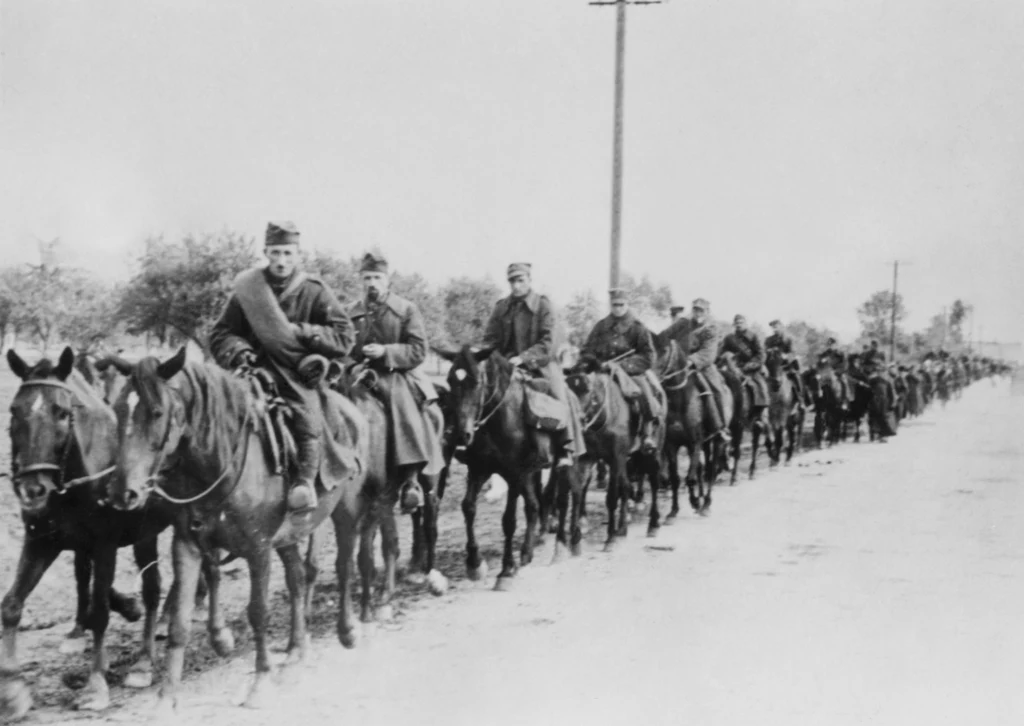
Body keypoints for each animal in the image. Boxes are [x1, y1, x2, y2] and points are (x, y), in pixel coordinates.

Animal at [108, 348, 370, 712]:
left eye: (157, 412)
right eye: (119, 410)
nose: (123, 493)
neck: (219, 461)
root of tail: (351, 410)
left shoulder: (258, 548)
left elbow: (258, 613)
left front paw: (260, 683)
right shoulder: (187, 545)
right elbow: (179, 621)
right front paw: (166, 697)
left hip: (345, 511)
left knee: (344, 564)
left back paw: (346, 631)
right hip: (288, 535)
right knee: (297, 578)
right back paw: (294, 652)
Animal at [440, 346, 585, 589]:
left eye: (476, 382)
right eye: (450, 381)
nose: (461, 435)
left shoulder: (514, 473)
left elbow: (508, 520)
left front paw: (506, 570)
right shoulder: (480, 470)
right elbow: (468, 507)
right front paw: (474, 563)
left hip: (564, 465)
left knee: (569, 497)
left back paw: (566, 544)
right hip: (532, 473)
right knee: (535, 505)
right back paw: (527, 552)